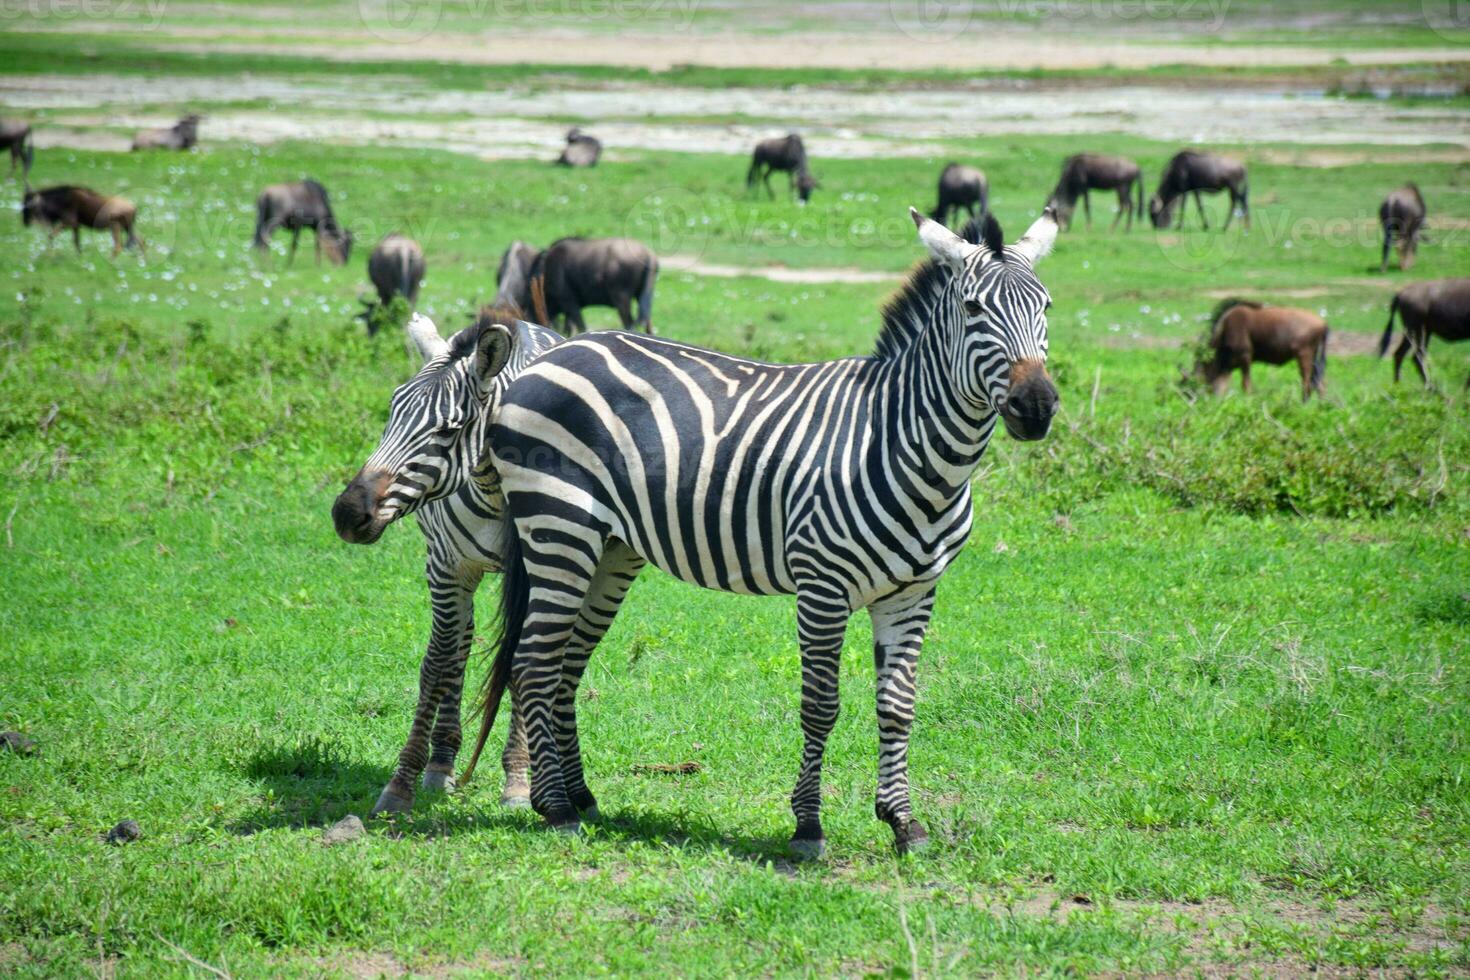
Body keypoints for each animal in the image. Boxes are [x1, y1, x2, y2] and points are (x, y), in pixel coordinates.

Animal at [333, 310, 561, 816]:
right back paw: (441, 762)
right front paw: (402, 783)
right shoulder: (445, 566)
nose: (347, 514)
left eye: (449, 431)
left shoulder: (542, 570)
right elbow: (436, 663)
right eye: (390, 413)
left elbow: (521, 663)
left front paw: (519, 780)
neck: (496, 491)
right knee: (457, 644)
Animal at [446, 207, 1058, 858]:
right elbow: (821, 705)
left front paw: (903, 823)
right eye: (973, 309)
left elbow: (898, 707)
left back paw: (582, 796)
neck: (900, 441)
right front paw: (808, 826)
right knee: (534, 663)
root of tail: (549, 354)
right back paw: (555, 808)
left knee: (564, 666)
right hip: (559, 526)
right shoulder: (823, 585)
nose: (1037, 405)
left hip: (609, 549)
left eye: (1045, 306)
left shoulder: (914, 592)